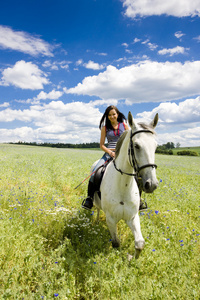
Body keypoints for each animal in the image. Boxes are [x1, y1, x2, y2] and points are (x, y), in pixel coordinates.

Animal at [92, 111, 159, 258]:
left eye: (156, 146)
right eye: (136, 146)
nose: (152, 184)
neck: (123, 185)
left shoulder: (132, 217)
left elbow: (140, 244)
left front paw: (132, 258)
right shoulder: (111, 219)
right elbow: (116, 243)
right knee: (98, 209)